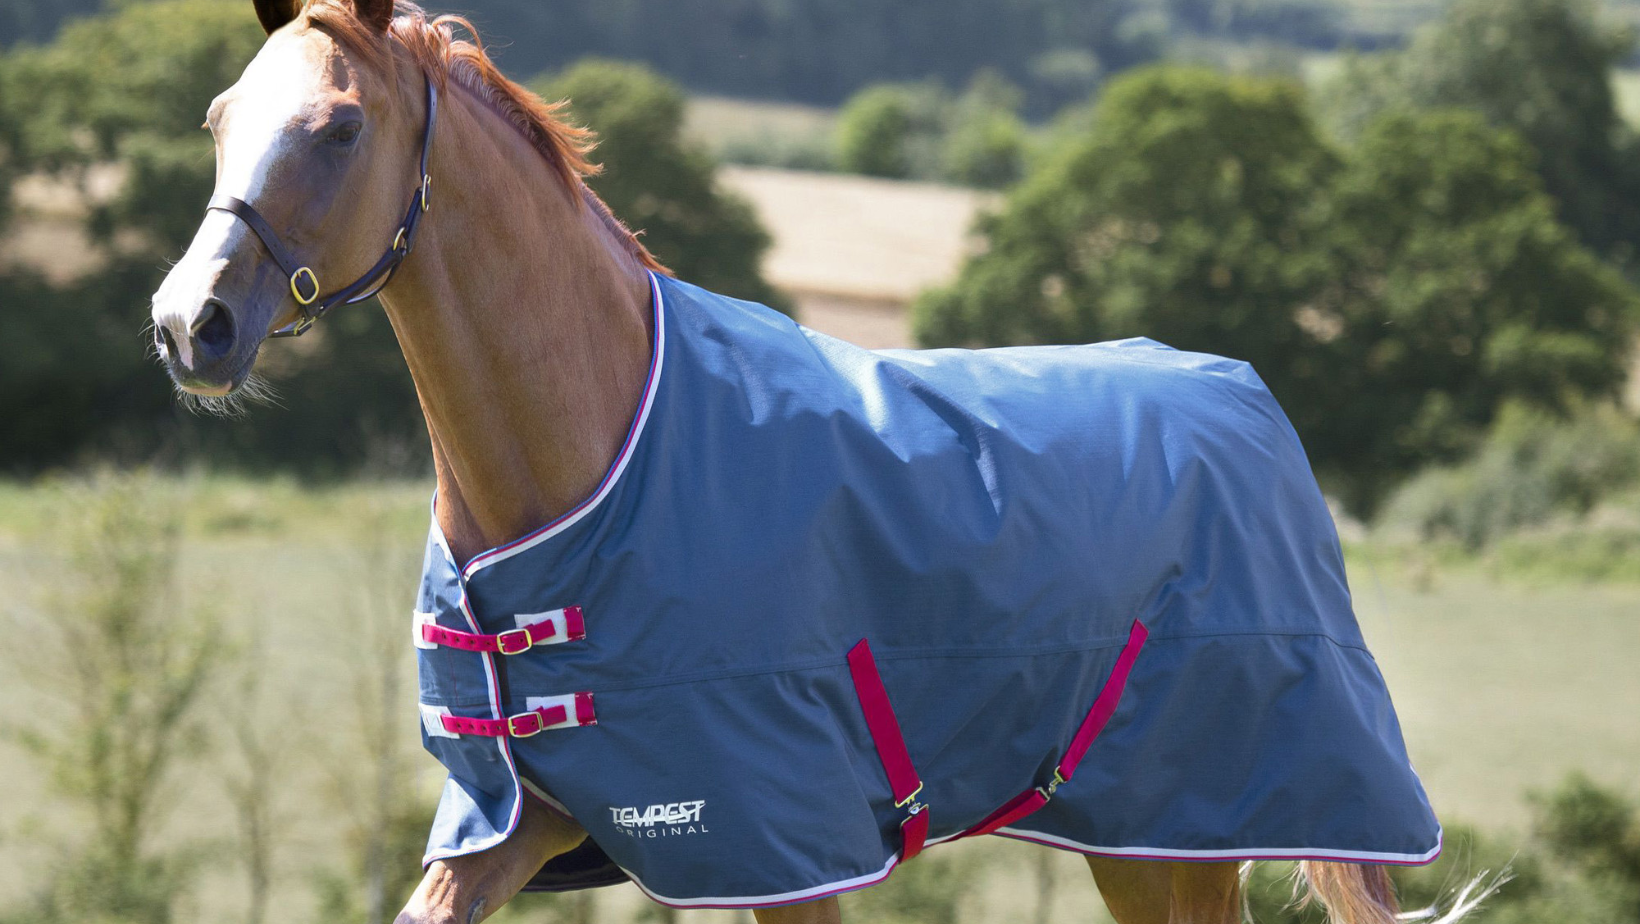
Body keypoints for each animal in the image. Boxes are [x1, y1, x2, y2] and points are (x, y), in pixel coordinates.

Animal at [149, 2, 1470, 922]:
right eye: (218, 119)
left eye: (338, 126)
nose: (186, 324)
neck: (594, 464)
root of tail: (1242, 399)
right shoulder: (510, 827)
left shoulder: (782, 848)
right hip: (1135, 840)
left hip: (1194, 833)